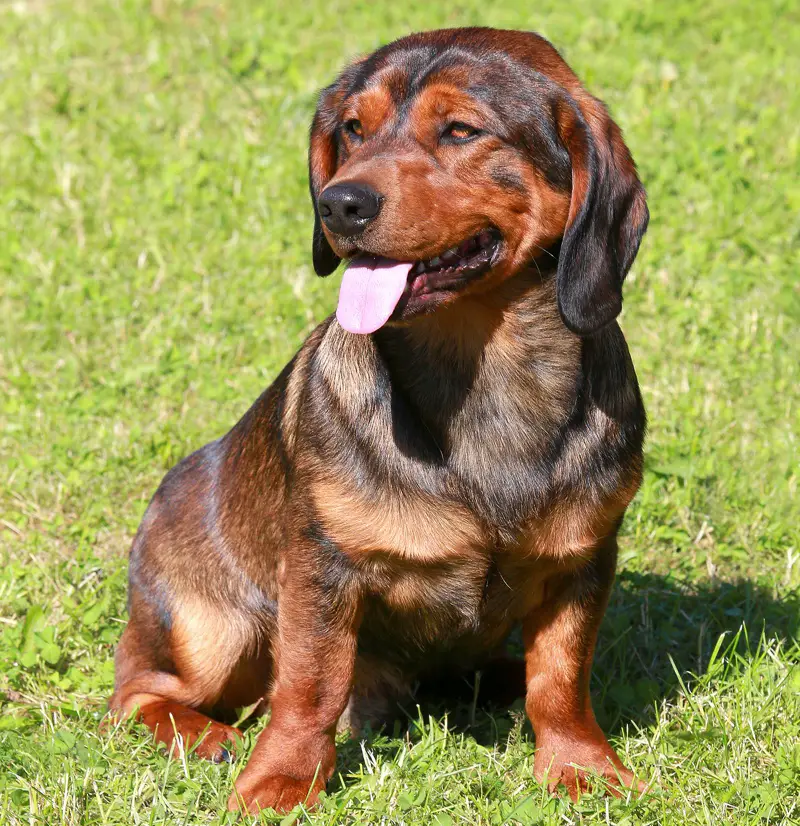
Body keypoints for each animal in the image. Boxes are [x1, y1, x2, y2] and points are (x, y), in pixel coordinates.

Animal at [109, 25, 648, 812]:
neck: (484, 374)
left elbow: (560, 679)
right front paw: (280, 781)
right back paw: (206, 736)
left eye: (460, 131)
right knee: (136, 694)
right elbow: (309, 685)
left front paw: (581, 766)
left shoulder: (580, 561)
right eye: (352, 130)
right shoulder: (323, 566)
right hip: (212, 632)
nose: (339, 205)